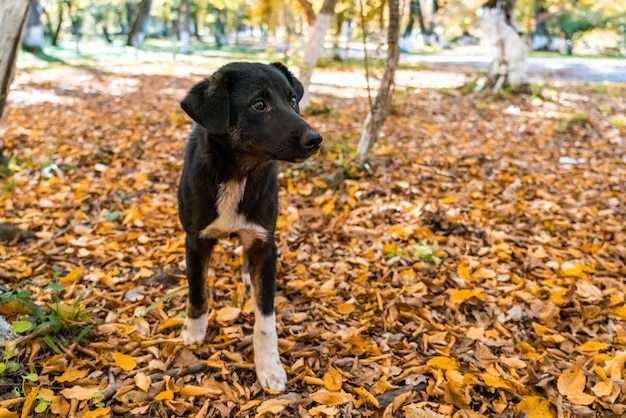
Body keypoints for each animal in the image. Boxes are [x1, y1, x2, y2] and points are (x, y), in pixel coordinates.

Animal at [177, 62, 320, 392]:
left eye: (292, 99)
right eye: (259, 104)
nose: (316, 139)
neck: (237, 175)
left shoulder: (264, 244)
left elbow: (266, 318)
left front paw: (269, 367)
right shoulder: (195, 241)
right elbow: (197, 292)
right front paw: (194, 332)